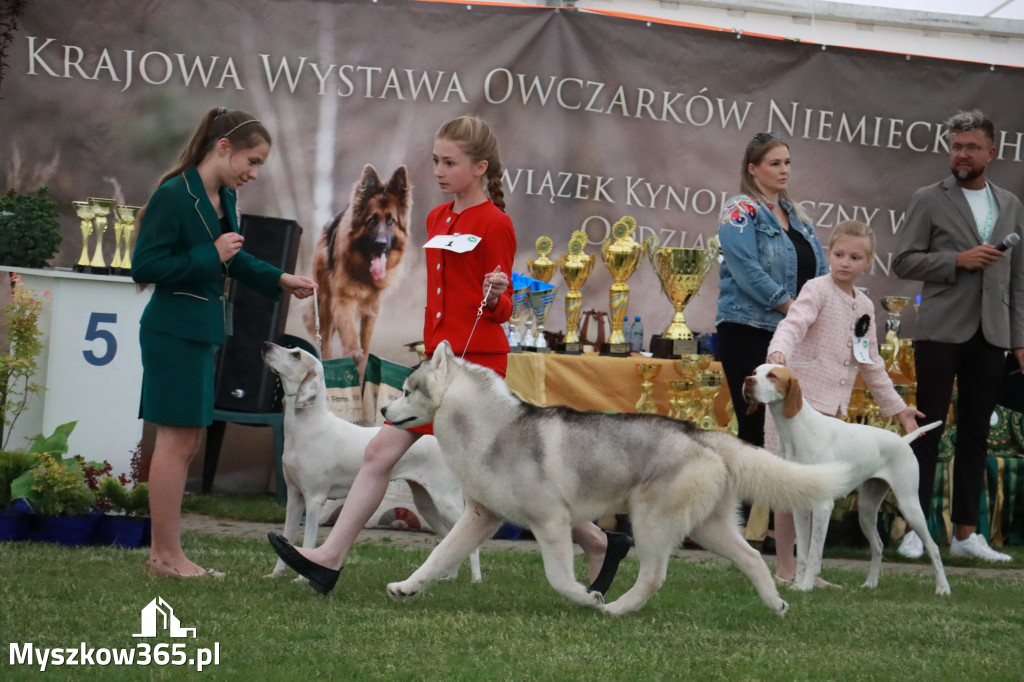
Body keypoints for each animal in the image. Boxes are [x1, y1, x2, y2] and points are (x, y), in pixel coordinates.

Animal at [256, 339, 479, 577]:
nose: (266, 345)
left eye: (296, 355)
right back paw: (449, 578)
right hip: (426, 503)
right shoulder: (295, 497)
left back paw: (475, 579)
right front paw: (275, 574)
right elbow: (287, 534)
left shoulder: (314, 499)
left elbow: (308, 541)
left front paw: (300, 577)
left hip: (445, 499)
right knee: (450, 539)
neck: (308, 426)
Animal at [380, 342, 851, 614]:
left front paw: (587, 596)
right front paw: (407, 587)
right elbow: (438, 555)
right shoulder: (480, 518)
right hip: (708, 526)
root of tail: (698, 431)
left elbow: (558, 577)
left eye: (405, 390)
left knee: (654, 576)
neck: (493, 429)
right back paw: (776, 604)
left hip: (650, 522)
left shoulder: (550, 521)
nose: (383, 410)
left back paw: (617, 609)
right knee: (753, 558)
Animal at [745, 360, 950, 593]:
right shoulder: (801, 506)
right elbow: (803, 554)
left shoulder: (823, 506)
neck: (795, 431)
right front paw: (798, 585)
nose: (747, 381)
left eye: (772, 376)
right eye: (754, 372)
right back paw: (870, 583)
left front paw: (807, 586)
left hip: (910, 506)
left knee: (933, 547)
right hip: (866, 511)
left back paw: (943, 588)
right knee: (878, 545)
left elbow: (814, 554)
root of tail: (903, 441)